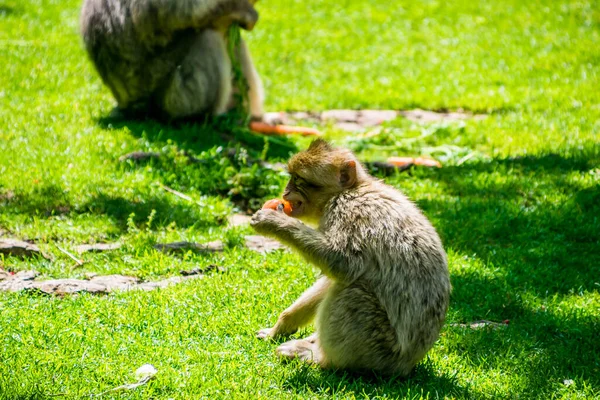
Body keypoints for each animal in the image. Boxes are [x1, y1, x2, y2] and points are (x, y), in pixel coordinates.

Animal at [251, 141, 452, 376]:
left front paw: (273, 222)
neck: (352, 190)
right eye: (291, 177)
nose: (286, 191)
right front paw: (281, 326)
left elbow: (344, 265)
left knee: (353, 290)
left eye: (299, 180)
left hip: (378, 349)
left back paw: (322, 359)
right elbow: (331, 278)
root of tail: (407, 365)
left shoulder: (349, 212)